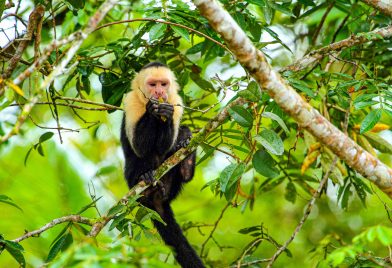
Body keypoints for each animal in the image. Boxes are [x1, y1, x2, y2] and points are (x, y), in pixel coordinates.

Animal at [120, 61, 205, 266]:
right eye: (153, 84)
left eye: (163, 84)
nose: (159, 92)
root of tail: (158, 200)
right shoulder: (131, 101)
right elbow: (139, 147)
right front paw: (152, 110)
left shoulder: (176, 101)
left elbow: (165, 144)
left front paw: (171, 122)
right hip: (132, 182)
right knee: (140, 158)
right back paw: (145, 177)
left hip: (172, 187)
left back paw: (186, 157)